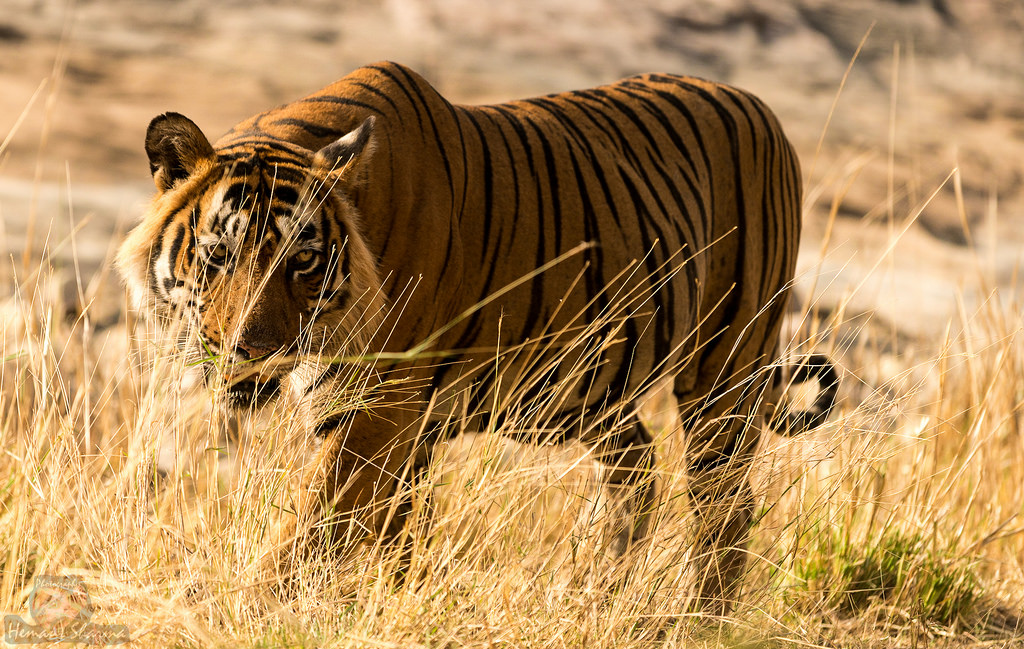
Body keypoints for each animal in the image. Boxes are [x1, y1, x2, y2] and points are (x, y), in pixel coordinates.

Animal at [117, 59, 839, 606]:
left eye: (303, 261)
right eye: (218, 256)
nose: (254, 351)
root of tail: (758, 104)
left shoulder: (377, 407)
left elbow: (317, 520)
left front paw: (251, 605)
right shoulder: (397, 423)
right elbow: (391, 531)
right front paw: (385, 601)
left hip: (727, 367)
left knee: (725, 507)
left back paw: (690, 619)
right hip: (589, 394)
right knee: (635, 474)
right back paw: (587, 595)